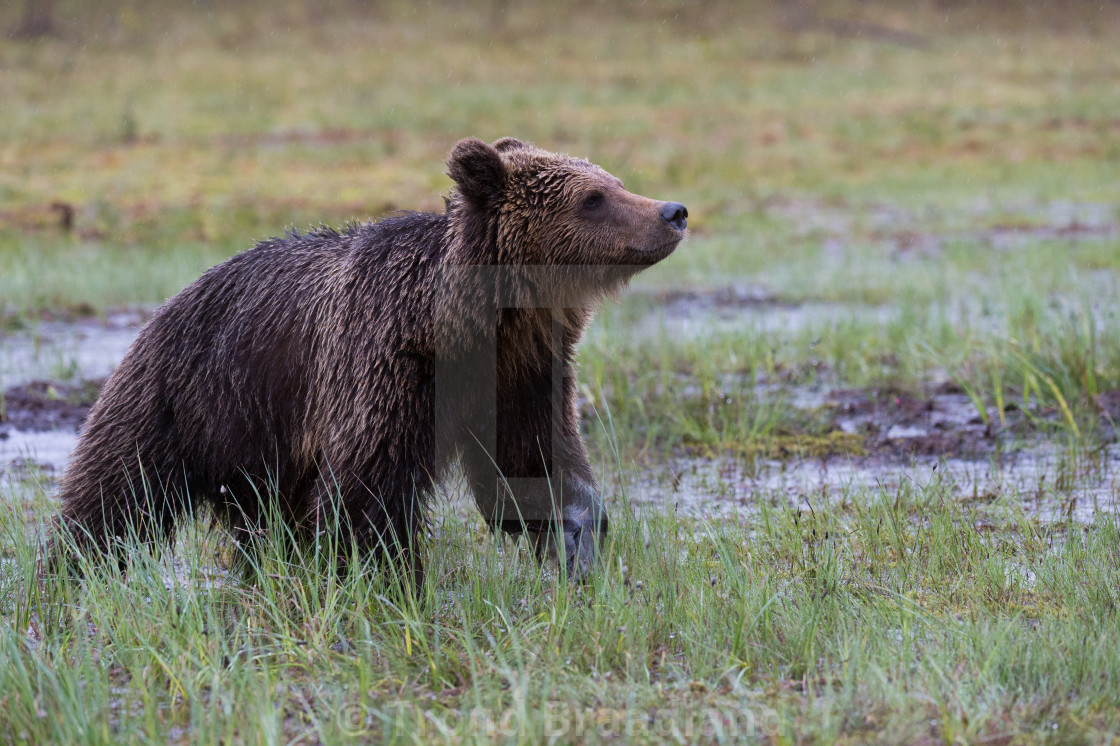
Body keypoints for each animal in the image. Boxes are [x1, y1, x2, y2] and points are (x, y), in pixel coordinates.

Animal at [52, 136, 689, 582]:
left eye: (614, 181)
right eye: (593, 198)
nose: (673, 211)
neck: (468, 324)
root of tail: (169, 303)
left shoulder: (521, 372)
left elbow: (531, 461)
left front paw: (576, 539)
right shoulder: (385, 363)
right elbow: (368, 492)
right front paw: (391, 583)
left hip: (262, 445)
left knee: (264, 523)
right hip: (192, 397)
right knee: (114, 496)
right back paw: (69, 574)